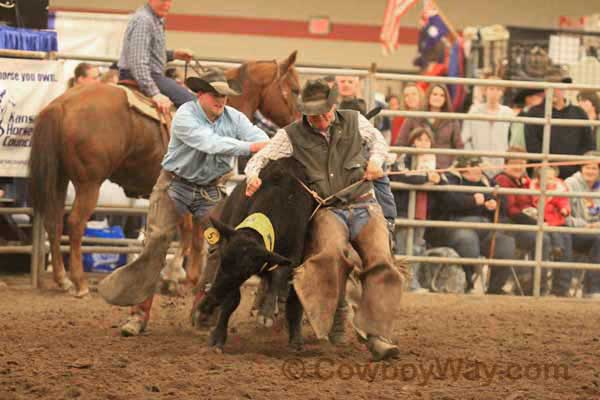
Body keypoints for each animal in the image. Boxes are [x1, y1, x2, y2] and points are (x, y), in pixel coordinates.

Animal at [28, 51, 300, 296]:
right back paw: (79, 282)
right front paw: (182, 277)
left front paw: (173, 276)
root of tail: (60, 105)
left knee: (53, 220)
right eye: (296, 89)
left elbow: (186, 232)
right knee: (74, 223)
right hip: (89, 183)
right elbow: (193, 234)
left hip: (61, 178)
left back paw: (62, 279)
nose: (298, 122)